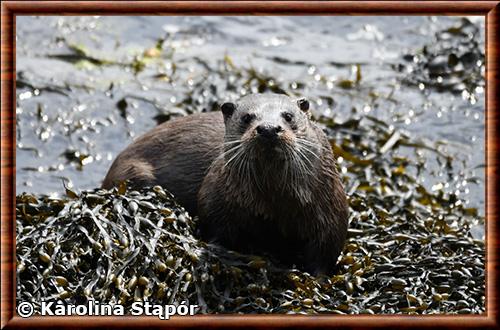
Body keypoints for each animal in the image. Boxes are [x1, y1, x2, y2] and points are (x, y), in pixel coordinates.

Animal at [102, 93, 348, 274]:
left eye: (288, 116)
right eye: (247, 117)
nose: (268, 128)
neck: (273, 204)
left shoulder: (329, 209)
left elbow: (324, 252)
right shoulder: (216, 197)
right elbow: (217, 228)